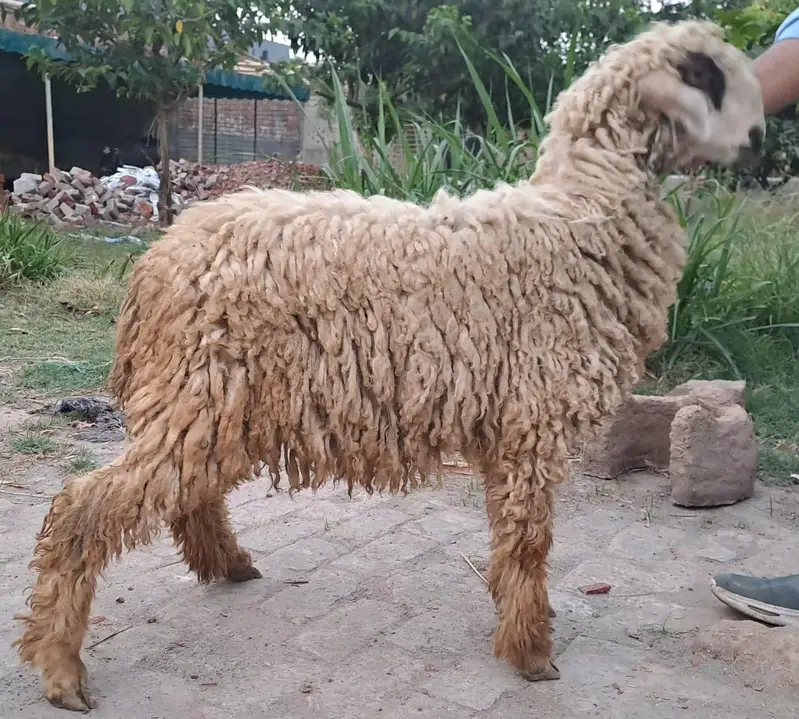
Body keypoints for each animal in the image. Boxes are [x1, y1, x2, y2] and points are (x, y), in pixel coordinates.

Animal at [13, 19, 765, 712]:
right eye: (716, 78)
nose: (760, 142)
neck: (580, 216)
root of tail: (156, 260)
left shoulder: (506, 427)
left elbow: (510, 538)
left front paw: (515, 619)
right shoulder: (531, 421)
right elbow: (530, 541)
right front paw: (531, 652)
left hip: (219, 399)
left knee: (187, 495)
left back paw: (229, 566)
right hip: (201, 390)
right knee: (86, 508)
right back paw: (62, 669)